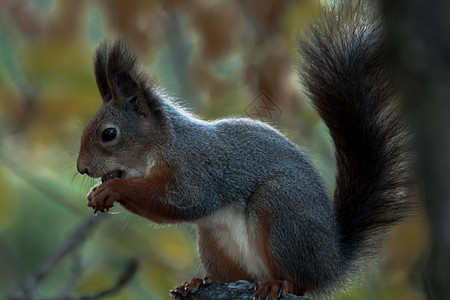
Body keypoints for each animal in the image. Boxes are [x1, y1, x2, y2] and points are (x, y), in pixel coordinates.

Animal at [76, 1, 412, 298]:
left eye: (109, 134)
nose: (82, 168)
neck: (163, 145)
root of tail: (333, 261)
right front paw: (96, 192)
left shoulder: (195, 171)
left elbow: (177, 201)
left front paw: (112, 190)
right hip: (213, 241)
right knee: (238, 277)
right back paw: (199, 282)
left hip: (282, 211)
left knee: (300, 282)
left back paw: (279, 284)